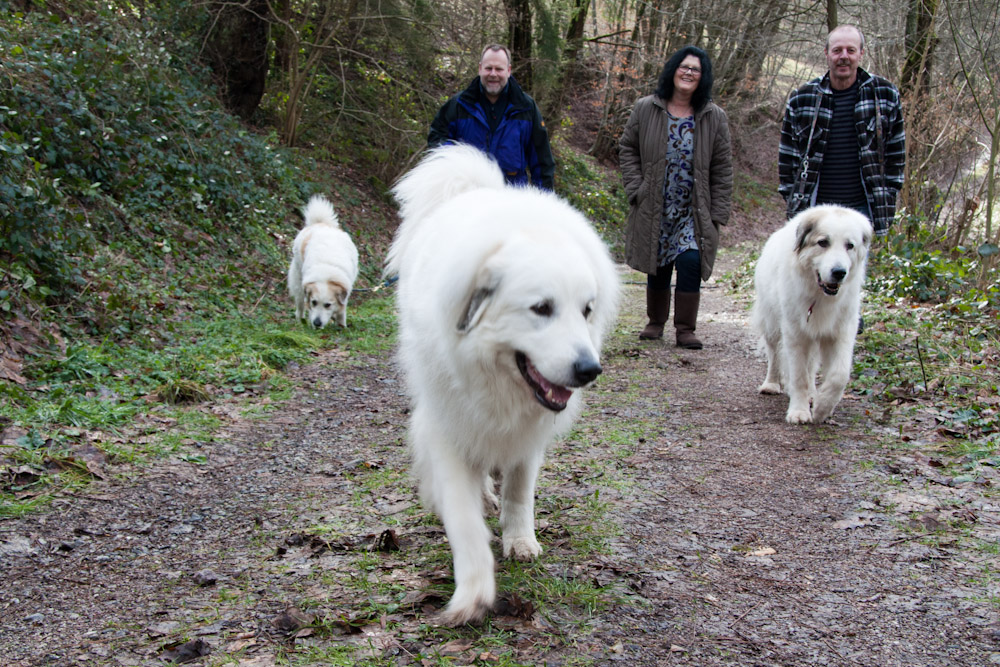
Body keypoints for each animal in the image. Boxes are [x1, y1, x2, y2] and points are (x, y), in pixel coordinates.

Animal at [286, 193, 360, 328]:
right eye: (314, 302)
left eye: (327, 305)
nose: (317, 323)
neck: (326, 274)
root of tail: (321, 223)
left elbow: (342, 310)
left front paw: (341, 325)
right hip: (298, 279)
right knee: (300, 302)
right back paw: (299, 320)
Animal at [382, 145, 616, 628]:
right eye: (541, 308)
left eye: (586, 310)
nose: (590, 370)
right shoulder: (447, 427)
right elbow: (463, 517)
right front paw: (473, 590)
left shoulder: (528, 434)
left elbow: (520, 490)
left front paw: (519, 539)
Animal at [752, 205, 872, 422]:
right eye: (823, 242)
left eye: (850, 245)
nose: (839, 272)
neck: (820, 295)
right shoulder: (795, 333)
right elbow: (798, 375)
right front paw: (799, 411)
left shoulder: (841, 331)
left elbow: (839, 375)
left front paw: (822, 407)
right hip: (772, 322)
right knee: (774, 354)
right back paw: (771, 384)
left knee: (811, 366)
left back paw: (812, 395)